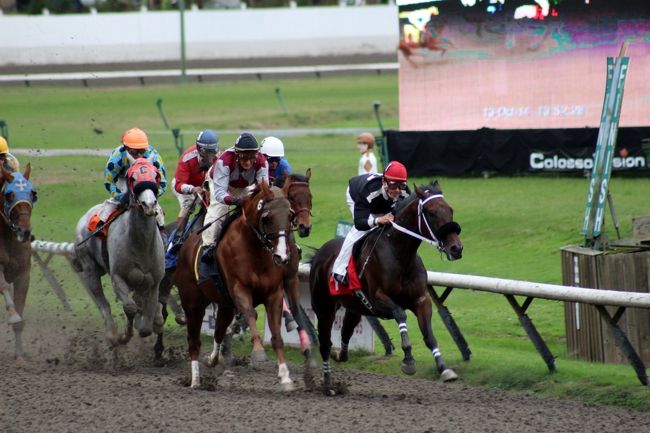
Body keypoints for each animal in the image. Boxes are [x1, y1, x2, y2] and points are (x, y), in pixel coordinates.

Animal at [71, 160, 165, 346]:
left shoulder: (153, 282)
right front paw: (124, 335)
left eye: (155, 175)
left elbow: (146, 323)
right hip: (90, 268)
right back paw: (112, 334)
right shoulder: (118, 278)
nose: (149, 205)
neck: (141, 246)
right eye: (133, 177)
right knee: (102, 302)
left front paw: (152, 323)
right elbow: (130, 307)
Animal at [173, 178, 292, 388]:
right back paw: (195, 381)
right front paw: (258, 351)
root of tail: (185, 243)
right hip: (193, 303)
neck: (254, 251)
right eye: (267, 217)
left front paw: (285, 376)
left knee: (219, 331)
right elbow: (250, 313)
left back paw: (213, 359)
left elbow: (277, 336)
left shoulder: (274, 294)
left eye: (290, 215)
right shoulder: (239, 290)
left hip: (224, 305)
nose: (282, 256)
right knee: (194, 341)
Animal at [308, 180, 460, 392]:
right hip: (324, 308)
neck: (400, 253)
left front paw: (444, 369)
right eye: (431, 212)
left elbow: (429, 336)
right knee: (324, 343)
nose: (456, 249)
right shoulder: (377, 300)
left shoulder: (421, 299)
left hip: (355, 307)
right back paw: (328, 383)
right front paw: (408, 360)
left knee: (346, 331)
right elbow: (400, 314)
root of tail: (318, 254)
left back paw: (339, 355)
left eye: (450, 209)